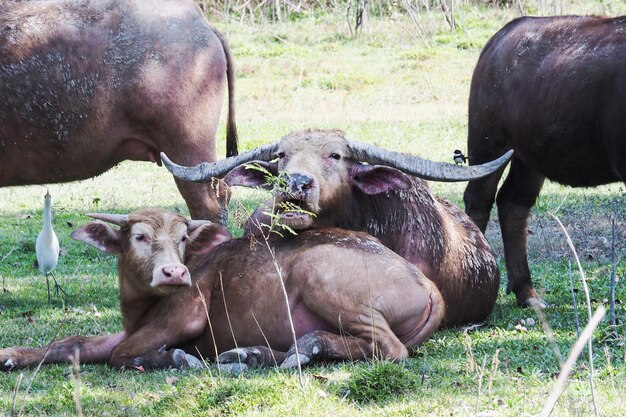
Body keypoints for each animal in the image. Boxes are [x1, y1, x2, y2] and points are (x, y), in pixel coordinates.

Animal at [0, 208, 442, 370]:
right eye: (139, 237)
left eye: (182, 238)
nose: (175, 273)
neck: (138, 309)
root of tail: (425, 282)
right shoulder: (131, 329)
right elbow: (72, 342)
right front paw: (12, 355)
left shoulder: (185, 315)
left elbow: (121, 355)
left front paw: (178, 357)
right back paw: (261, 353)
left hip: (319, 275)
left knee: (389, 348)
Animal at [458, 16, 624, 308]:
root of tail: (500, 37)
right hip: (488, 141)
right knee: (478, 201)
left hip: (529, 156)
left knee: (513, 204)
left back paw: (527, 292)